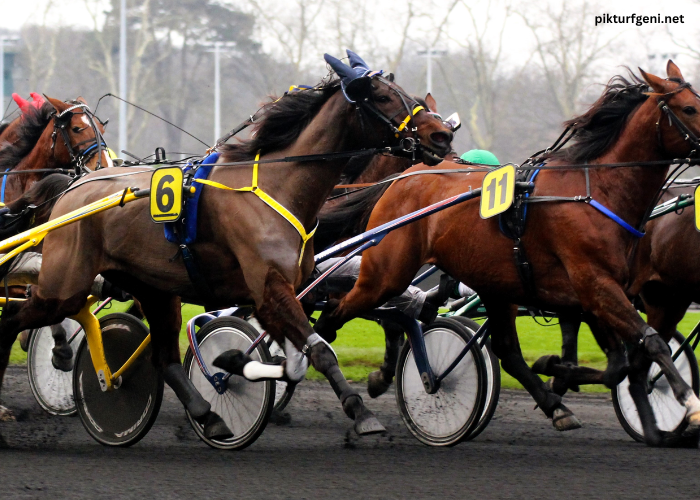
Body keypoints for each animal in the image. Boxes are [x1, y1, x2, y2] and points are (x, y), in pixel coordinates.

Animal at [0, 51, 452, 438]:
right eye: (381, 95)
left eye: (407, 93)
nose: (442, 135)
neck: (279, 185)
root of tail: (71, 187)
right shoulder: (270, 288)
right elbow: (319, 351)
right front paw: (360, 412)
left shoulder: (278, 294)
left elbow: (296, 359)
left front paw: (237, 366)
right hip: (64, 286)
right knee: (15, 320)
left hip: (156, 290)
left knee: (164, 359)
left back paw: (207, 415)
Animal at [316, 60, 700, 448]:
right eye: (689, 108)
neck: (593, 192)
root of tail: (402, 179)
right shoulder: (595, 285)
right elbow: (651, 344)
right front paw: (687, 400)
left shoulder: (598, 293)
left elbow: (621, 362)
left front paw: (561, 373)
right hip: (386, 274)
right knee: (337, 313)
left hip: (495, 282)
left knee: (505, 349)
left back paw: (556, 406)